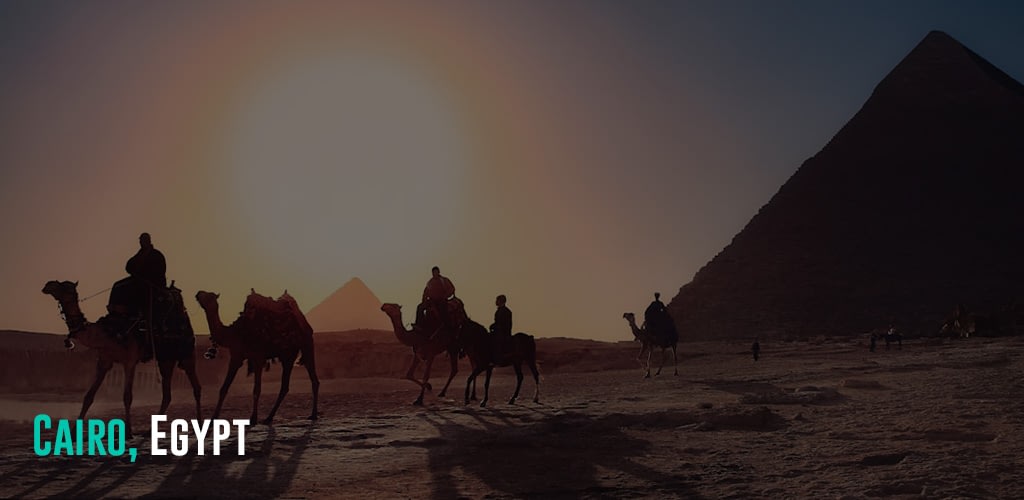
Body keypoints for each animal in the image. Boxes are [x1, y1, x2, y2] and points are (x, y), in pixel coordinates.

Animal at [41, 278, 201, 436]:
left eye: (64, 287)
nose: (47, 286)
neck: (107, 333)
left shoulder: (129, 361)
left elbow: (127, 396)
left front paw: (129, 431)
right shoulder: (104, 361)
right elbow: (88, 396)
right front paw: (74, 433)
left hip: (187, 352)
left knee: (196, 387)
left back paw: (199, 426)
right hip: (166, 359)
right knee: (167, 395)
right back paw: (150, 431)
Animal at [193, 288, 317, 422]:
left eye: (209, 296)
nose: (198, 293)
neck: (234, 333)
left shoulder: (258, 357)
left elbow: (256, 389)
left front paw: (253, 418)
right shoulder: (236, 356)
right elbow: (224, 388)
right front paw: (213, 419)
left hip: (306, 344)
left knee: (313, 379)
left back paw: (313, 414)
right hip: (288, 355)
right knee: (285, 386)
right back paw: (269, 417)